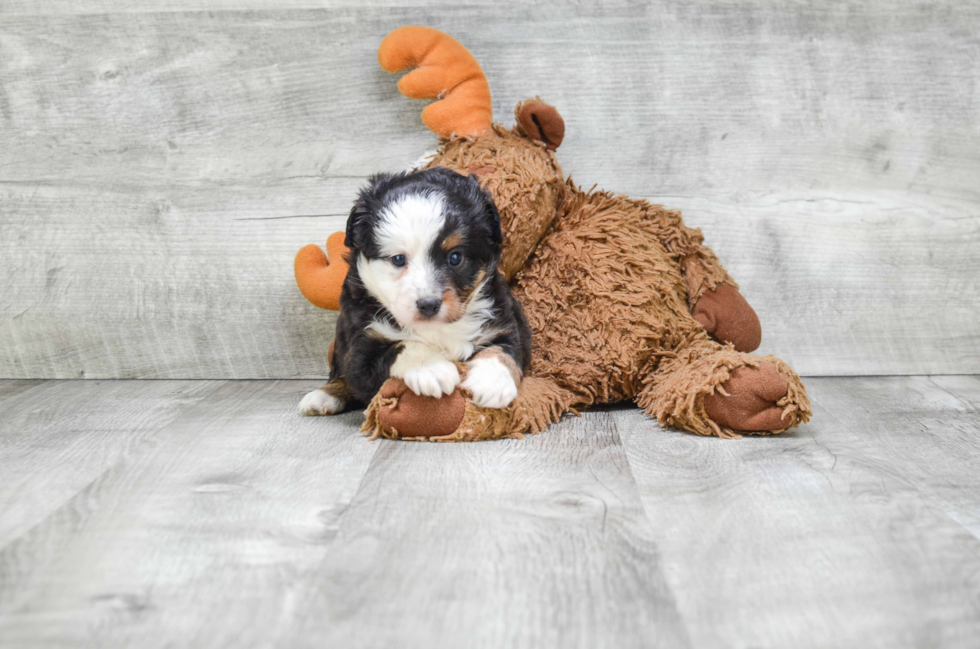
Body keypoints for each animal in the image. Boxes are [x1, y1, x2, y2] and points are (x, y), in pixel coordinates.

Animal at [298, 167, 532, 418]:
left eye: (455, 257)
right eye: (398, 259)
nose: (428, 304)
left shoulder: (506, 320)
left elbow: (502, 350)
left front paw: (492, 383)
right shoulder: (361, 348)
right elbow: (401, 346)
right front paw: (433, 369)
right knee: (341, 377)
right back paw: (322, 396)